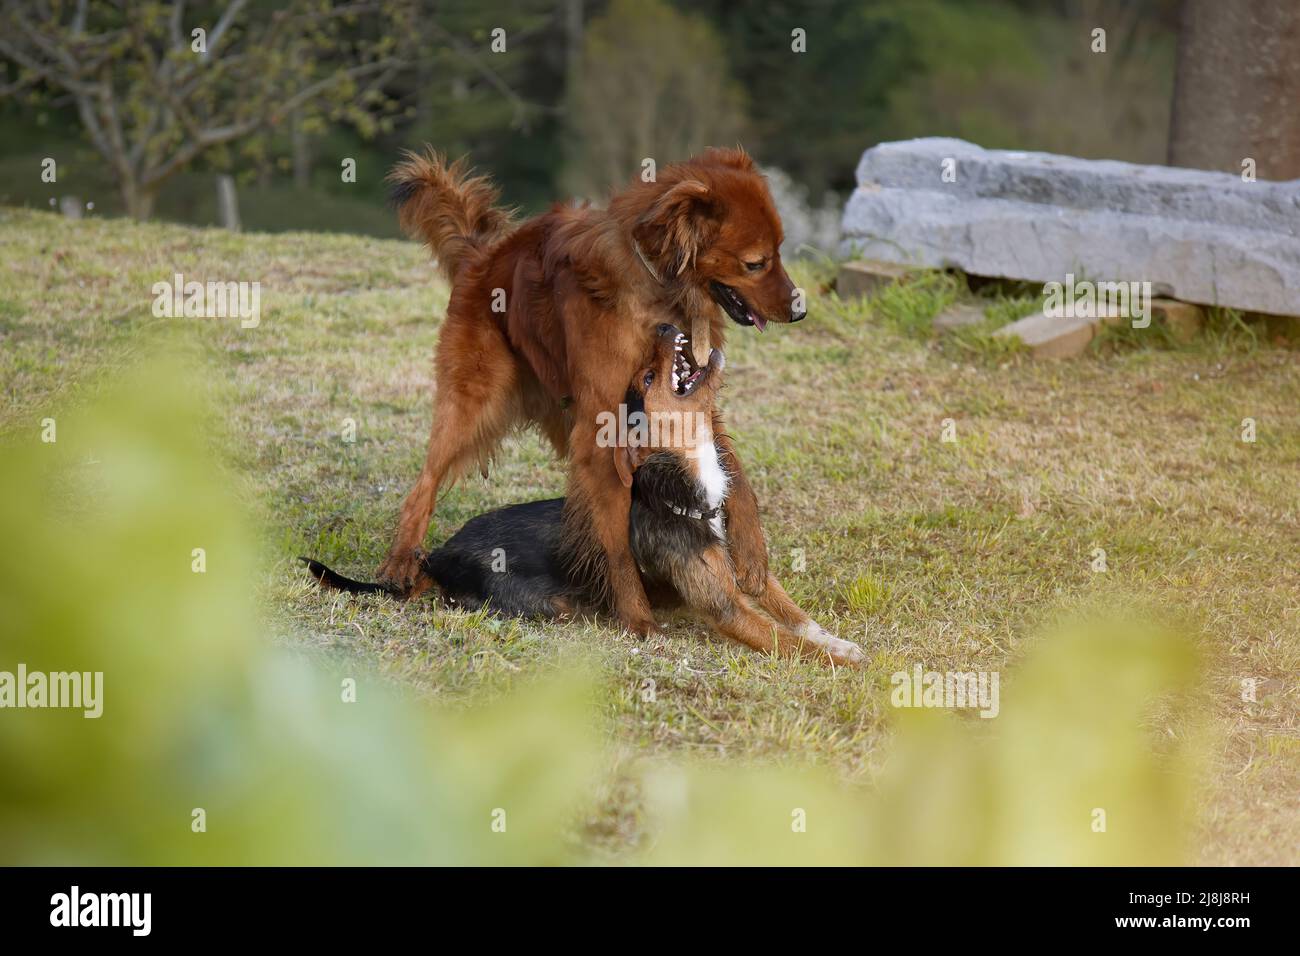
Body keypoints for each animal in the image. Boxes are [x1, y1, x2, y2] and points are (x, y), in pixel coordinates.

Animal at [306, 325, 863, 671]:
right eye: (646, 377)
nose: (666, 327)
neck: (687, 486)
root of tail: (437, 557)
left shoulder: (749, 574)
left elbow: (796, 617)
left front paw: (840, 643)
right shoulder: (723, 605)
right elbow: (784, 639)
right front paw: (837, 664)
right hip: (548, 605)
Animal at [379, 145, 800, 634]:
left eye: (779, 252)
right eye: (756, 263)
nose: (802, 311)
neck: (658, 288)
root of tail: (482, 254)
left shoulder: (691, 394)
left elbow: (733, 469)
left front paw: (751, 556)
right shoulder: (607, 429)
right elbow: (617, 543)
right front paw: (638, 619)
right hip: (473, 402)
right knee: (424, 484)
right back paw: (400, 562)